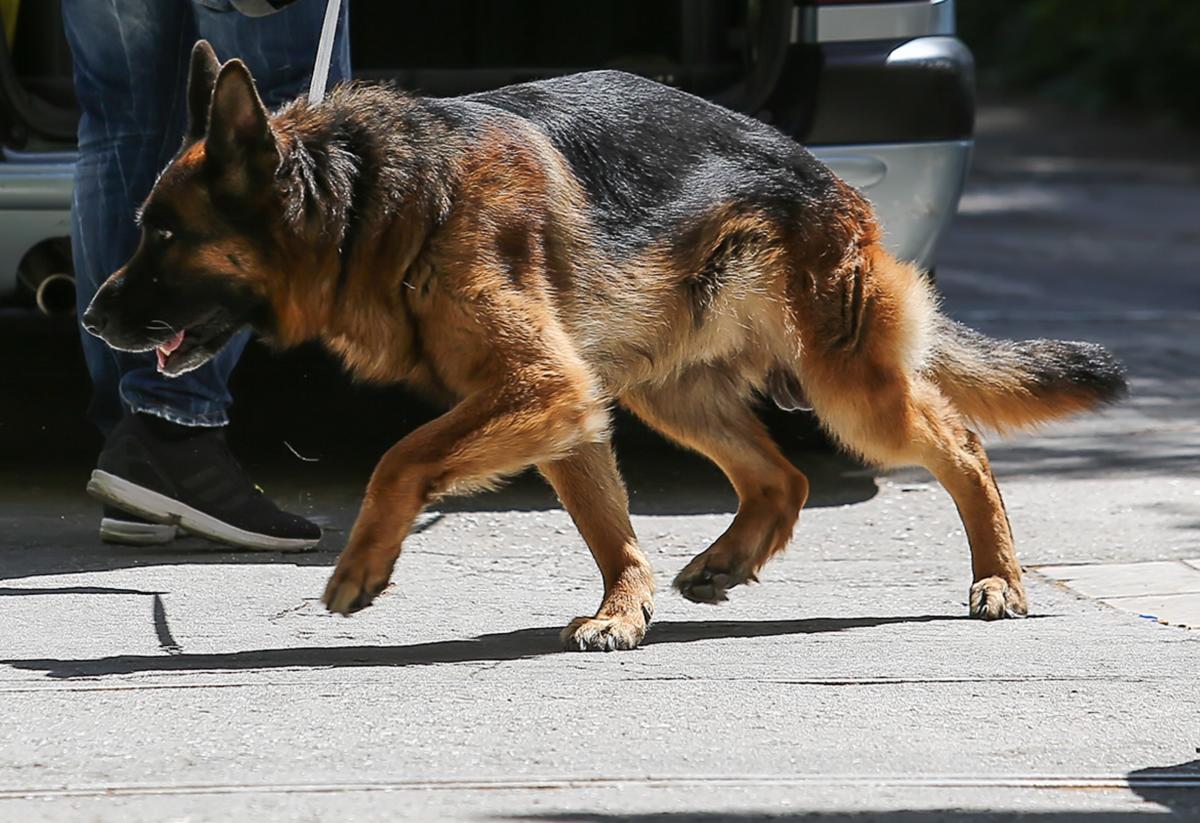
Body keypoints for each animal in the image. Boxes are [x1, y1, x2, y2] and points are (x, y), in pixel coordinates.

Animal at [84, 43, 1123, 652]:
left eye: (164, 235)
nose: (92, 318)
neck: (377, 196)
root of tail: (829, 182)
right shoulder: (566, 403)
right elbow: (609, 529)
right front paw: (625, 609)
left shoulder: (538, 387)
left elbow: (399, 459)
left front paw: (363, 566)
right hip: (671, 391)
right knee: (782, 476)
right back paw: (727, 560)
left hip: (847, 389)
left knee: (961, 445)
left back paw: (999, 578)